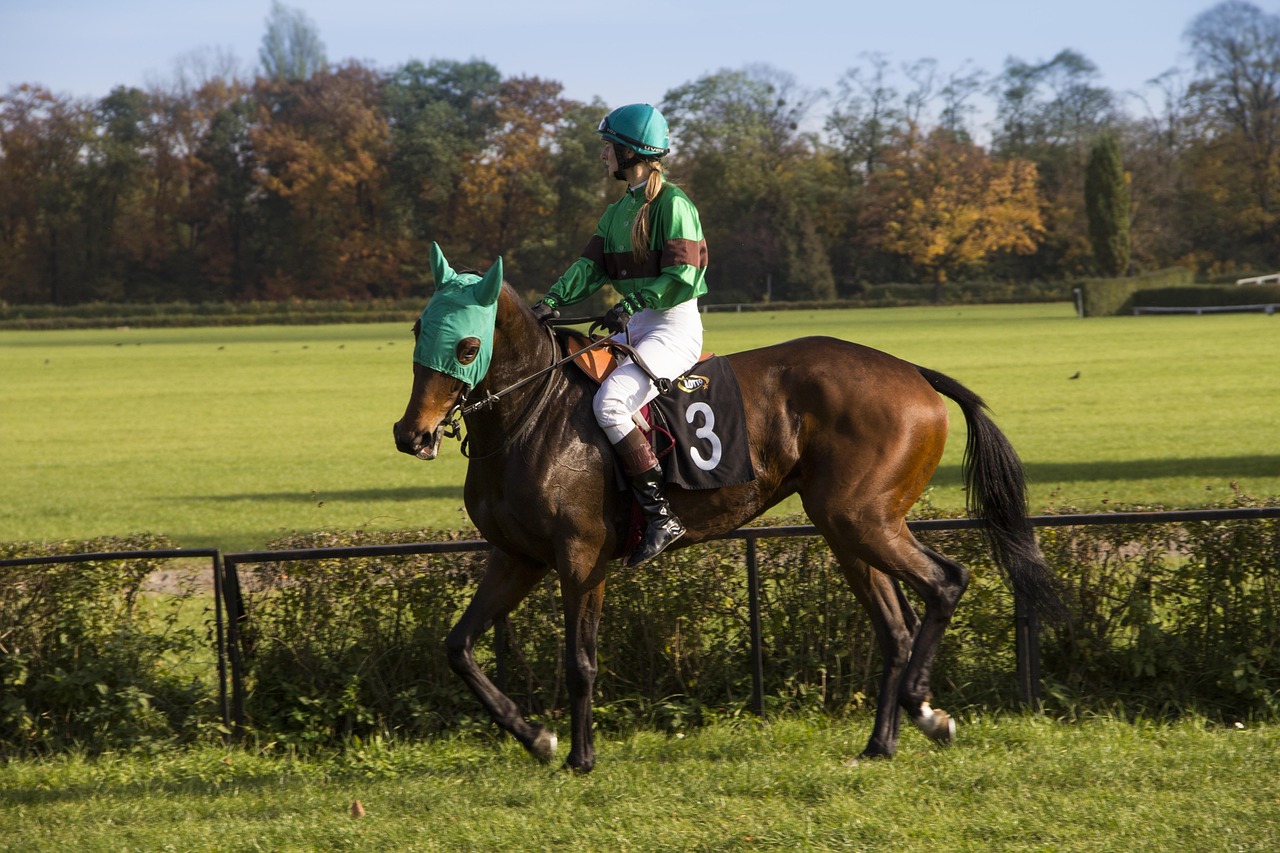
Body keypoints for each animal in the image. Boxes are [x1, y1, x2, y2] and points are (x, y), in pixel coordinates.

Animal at [394, 244, 1054, 768]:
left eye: (467, 346)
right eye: (419, 330)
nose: (411, 434)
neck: (531, 413)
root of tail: (913, 372)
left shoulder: (580, 558)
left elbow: (580, 661)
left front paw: (580, 757)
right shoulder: (517, 557)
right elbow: (459, 648)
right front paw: (535, 737)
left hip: (863, 520)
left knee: (947, 581)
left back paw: (925, 709)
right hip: (846, 529)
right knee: (894, 627)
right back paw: (880, 743)